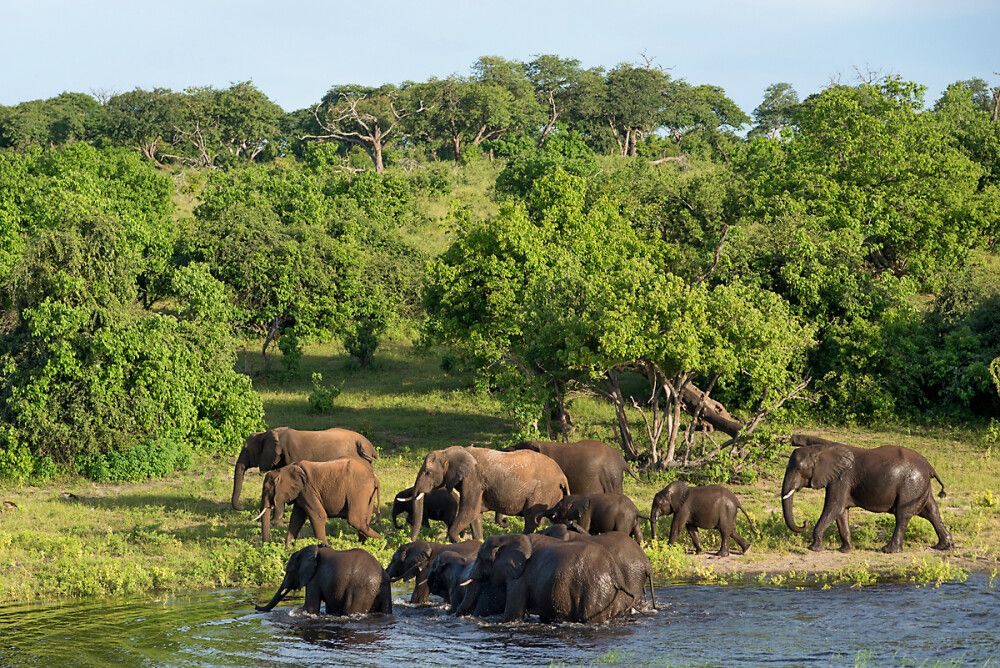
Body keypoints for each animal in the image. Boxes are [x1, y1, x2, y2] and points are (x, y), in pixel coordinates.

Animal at [402, 444, 568, 544]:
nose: (410, 540)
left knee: (532, 520)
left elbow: (469, 510)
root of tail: (562, 477)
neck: (448, 452)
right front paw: (477, 542)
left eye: (427, 472)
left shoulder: (473, 479)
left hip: (542, 493)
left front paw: (456, 540)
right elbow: (475, 513)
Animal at [780, 434, 952, 552]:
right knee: (931, 511)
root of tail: (929, 467)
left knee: (903, 514)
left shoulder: (841, 479)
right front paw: (845, 550)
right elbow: (841, 511)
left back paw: (888, 550)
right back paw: (943, 546)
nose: (804, 523)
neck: (823, 449)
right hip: (919, 486)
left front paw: (813, 548)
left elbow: (834, 507)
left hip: (911, 485)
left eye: (799, 469)